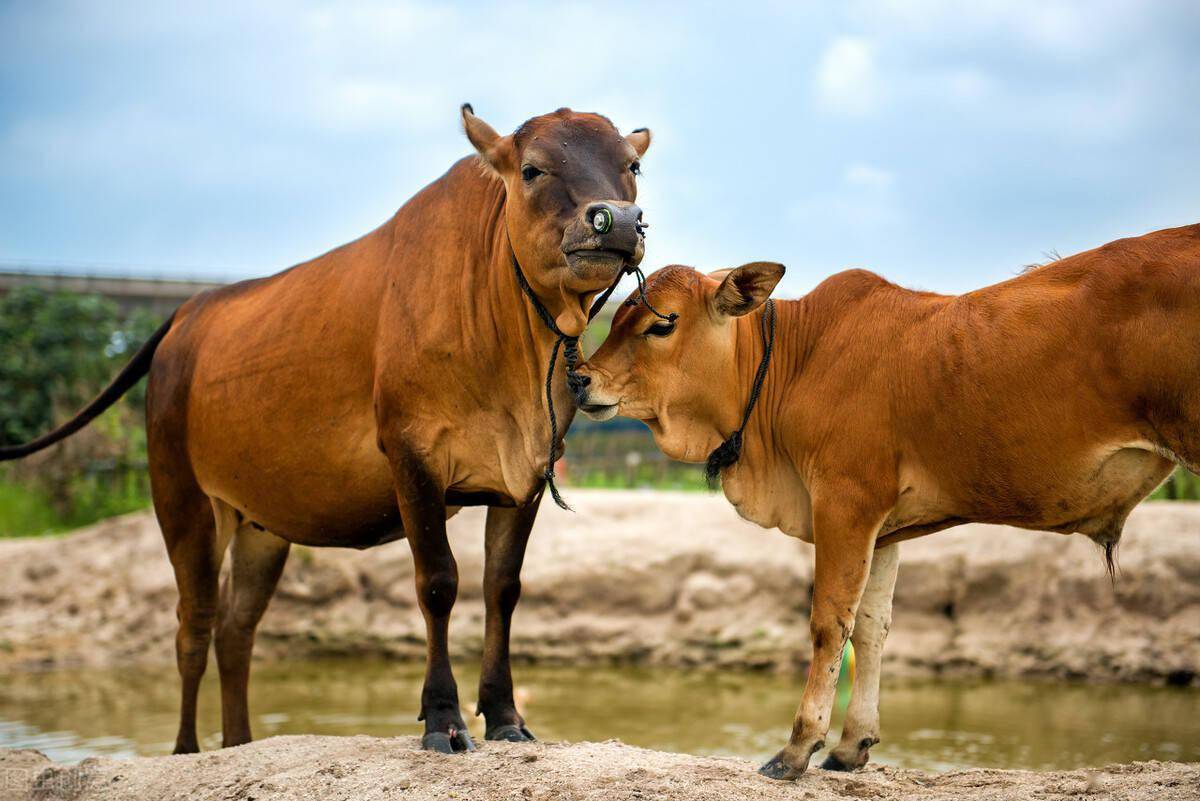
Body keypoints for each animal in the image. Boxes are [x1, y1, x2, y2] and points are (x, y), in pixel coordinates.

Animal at [0, 104, 652, 757]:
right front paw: (443, 718)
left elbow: (503, 588)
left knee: (236, 628)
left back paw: (239, 742)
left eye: (632, 165)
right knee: (194, 625)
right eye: (533, 169)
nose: (616, 221)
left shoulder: (528, 472)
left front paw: (505, 716)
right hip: (181, 496)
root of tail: (189, 311)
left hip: (259, 523)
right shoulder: (412, 457)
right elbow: (438, 583)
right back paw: (188, 751)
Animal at [573, 221, 1200, 777]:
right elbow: (872, 627)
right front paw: (853, 745)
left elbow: (830, 623)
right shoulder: (886, 527)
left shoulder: (845, 505)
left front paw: (798, 748)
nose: (580, 380)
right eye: (618, 314)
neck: (795, 362)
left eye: (662, 325)